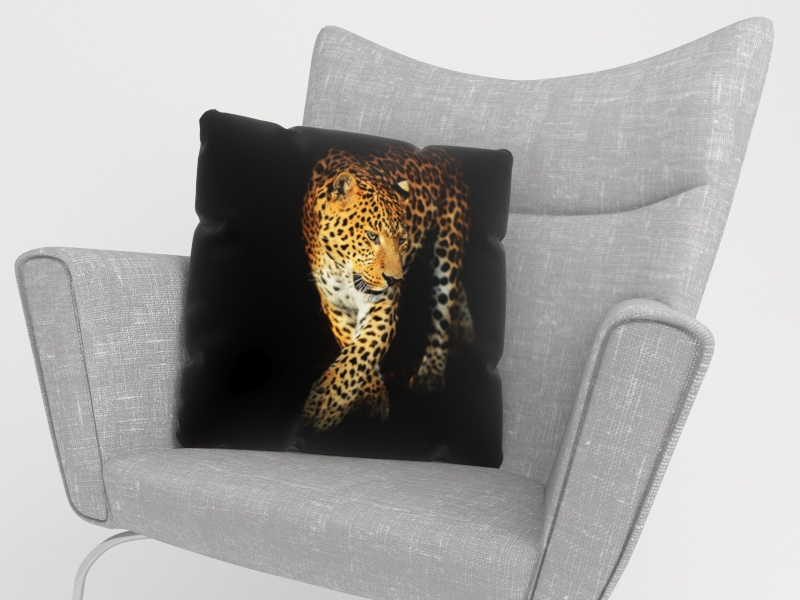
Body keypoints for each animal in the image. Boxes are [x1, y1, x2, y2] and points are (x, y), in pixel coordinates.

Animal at [300, 144, 475, 432]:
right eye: (372, 236)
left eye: (402, 239)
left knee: (442, 310)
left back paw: (431, 372)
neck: (342, 270)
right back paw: (466, 331)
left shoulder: (383, 305)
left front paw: (325, 406)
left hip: (448, 246)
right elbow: (354, 347)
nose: (394, 280)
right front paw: (371, 395)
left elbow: (362, 350)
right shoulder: (335, 306)